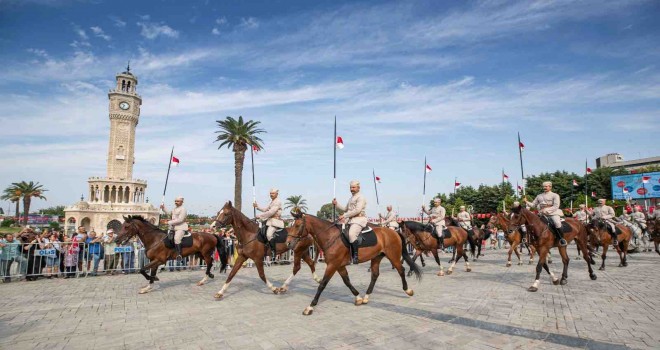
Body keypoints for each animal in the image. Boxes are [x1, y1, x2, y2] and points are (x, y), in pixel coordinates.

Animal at [286, 211, 420, 318]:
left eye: (297, 225)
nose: (288, 243)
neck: (330, 237)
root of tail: (393, 232)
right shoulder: (339, 266)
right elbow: (347, 281)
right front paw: (358, 297)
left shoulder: (332, 265)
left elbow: (322, 284)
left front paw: (310, 307)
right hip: (376, 258)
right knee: (375, 275)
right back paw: (366, 297)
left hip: (393, 256)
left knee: (401, 270)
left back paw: (408, 290)